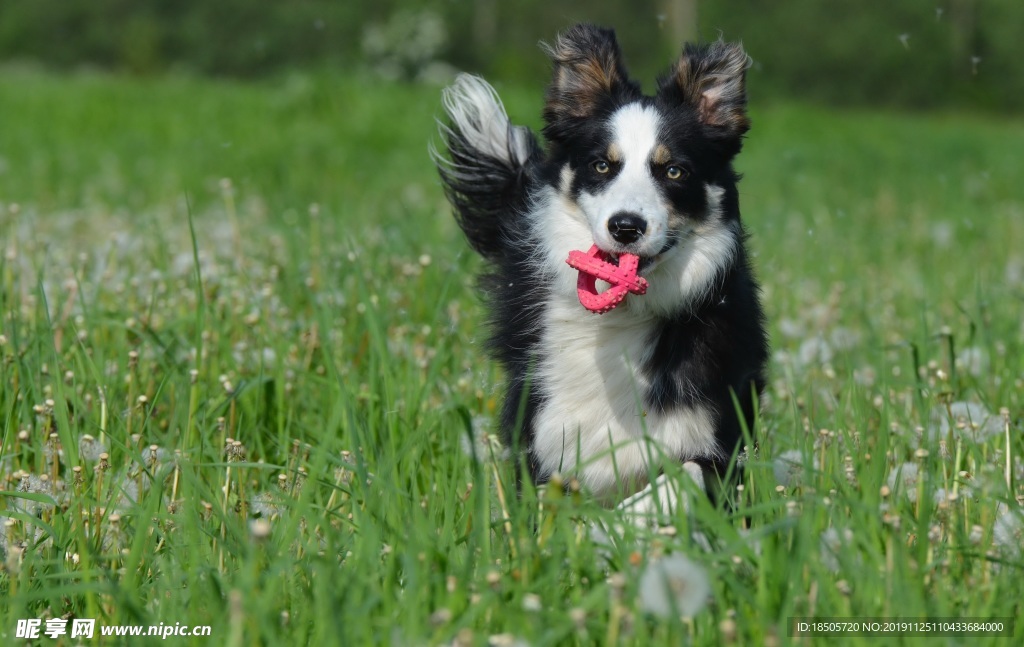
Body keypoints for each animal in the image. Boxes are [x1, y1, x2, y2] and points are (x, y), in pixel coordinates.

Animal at [434, 25, 770, 507]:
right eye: (601, 166)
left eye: (674, 171)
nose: (626, 227)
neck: (622, 318)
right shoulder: (546, 430)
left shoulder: (715, 433)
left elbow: (683, 475)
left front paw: (629, 518)